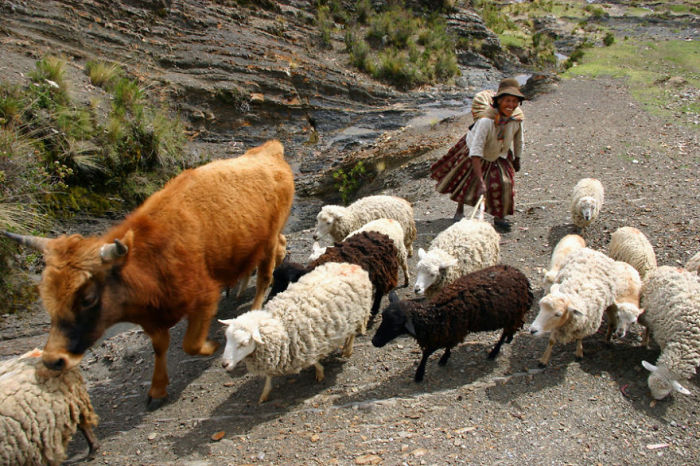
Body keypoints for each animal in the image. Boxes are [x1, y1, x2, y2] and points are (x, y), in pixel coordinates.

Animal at [3, 139, 292, 408]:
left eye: (87, 298)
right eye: (47, 297)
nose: (53, 360)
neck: (148, 260)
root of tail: (268, 151)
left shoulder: (204, 298)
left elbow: (191, 344)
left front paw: (211, 345)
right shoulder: (152, 317)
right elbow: (159, 346)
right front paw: (157, 389)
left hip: (267, 241)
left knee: (265, 275)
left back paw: (252, 304)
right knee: (278, 248)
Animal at [220, 262, 372, 404]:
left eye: (244, 343)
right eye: (227, 339)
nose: (224, 365)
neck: (280, 323)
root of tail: (352, 266)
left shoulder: (306, 343)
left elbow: (313, 361)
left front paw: (320, 372)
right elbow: (269, 376)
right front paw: (264, 393)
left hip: (357, 313)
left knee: (352, 334)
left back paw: (347, 349)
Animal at [372, 266, 532, 382]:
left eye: (395, 326)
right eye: (383, 317)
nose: (374, 341)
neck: (435, 312)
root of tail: (522, 277)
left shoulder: (452, 330)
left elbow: (429, 352)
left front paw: (420, 373)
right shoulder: (449, 330)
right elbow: (439, 348)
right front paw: (442, 359)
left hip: (512, 315)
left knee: (504, 333)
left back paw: (494, 352)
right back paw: (509, 338)